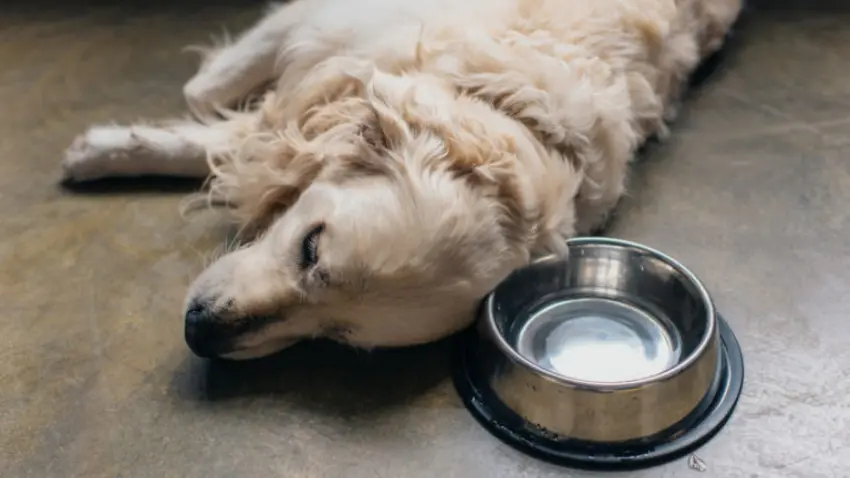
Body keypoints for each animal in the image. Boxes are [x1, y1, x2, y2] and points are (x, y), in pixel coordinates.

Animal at [61, 0, 744, 358]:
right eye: (311, 248)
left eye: (336, 335)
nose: (199, 333)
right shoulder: (326, 27)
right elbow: (206, 99)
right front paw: (103, 149)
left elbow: (225, 133)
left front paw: (102, 151)